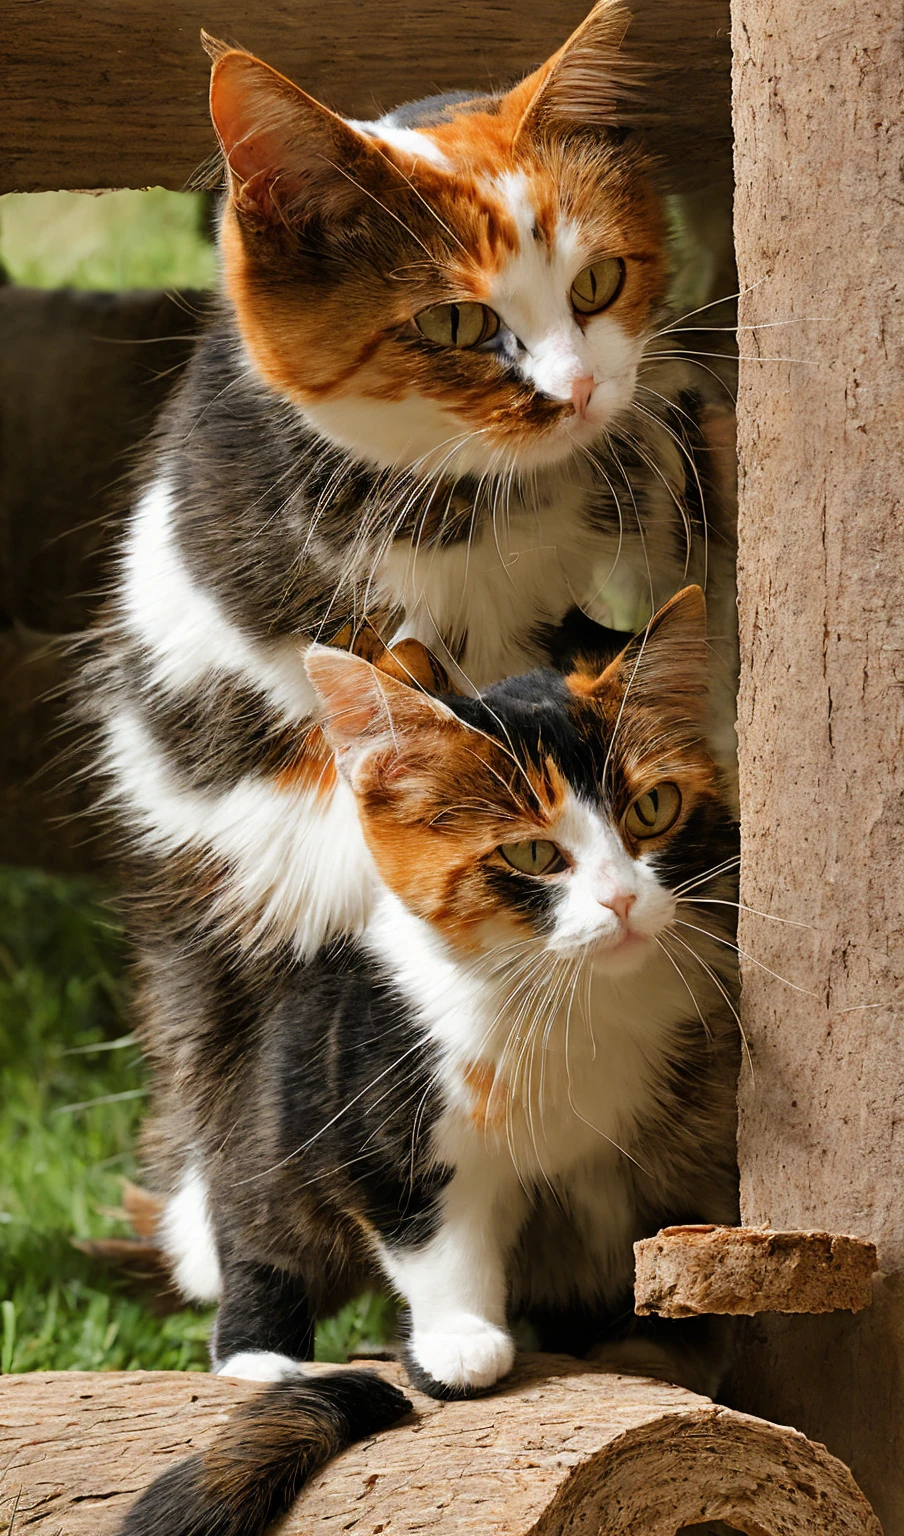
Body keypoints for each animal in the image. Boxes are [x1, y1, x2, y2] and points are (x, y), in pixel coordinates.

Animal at [116, 583, 736, 1536]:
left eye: (653, 810)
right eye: (531, 852)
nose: (624, 902)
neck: (570, 1001)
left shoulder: (668, 1116)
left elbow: (656, 1237)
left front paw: (646, 1340)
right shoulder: (383, 1096)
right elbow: (432, 1226)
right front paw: (460, 1340)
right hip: (278, 1099)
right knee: (260, 1219)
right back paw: (260, 1357)